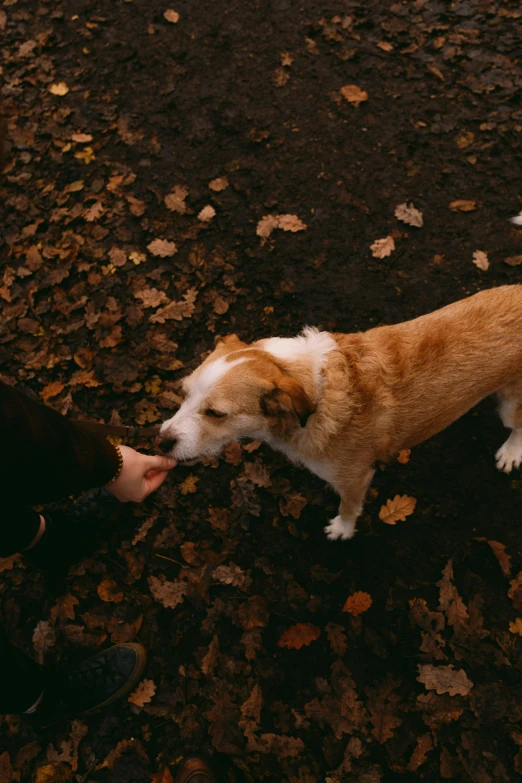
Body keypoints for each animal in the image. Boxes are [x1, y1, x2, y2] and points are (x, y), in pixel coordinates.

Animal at [156, 286, 520, 540]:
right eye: (184, 393)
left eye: (216, 413)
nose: (161, 443)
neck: (316, 391)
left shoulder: (354, 479)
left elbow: (348, 508)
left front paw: (342, 530)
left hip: (511, 405)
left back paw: (511, 452)